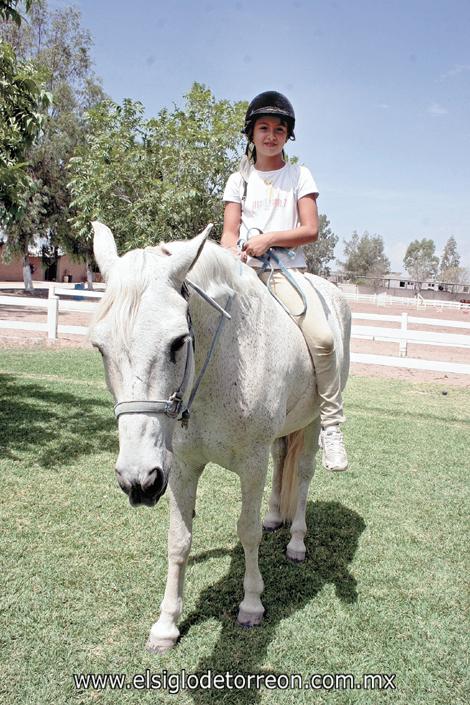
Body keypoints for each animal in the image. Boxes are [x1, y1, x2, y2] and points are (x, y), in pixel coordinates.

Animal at [90, 223, 350, 652]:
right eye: (99, 348)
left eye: (178, 341)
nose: (137, 481)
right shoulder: (181, 468)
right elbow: (178, 540)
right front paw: (166, 625)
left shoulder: (251, 465)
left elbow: (246, 532)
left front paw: (251, 605)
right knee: (283, 460)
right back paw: (275, 517)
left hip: (313, 420)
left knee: (304, 473)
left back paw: (297, 541)